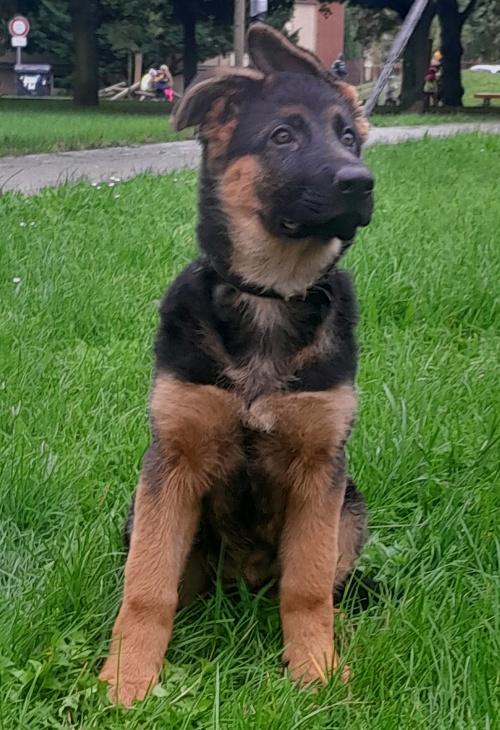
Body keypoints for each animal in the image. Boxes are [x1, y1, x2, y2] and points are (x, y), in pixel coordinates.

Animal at [100, 24, 375, 706]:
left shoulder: (321, 472)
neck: (269, 298)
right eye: (282, 136)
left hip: (351, 505)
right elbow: (146, 590)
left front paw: (315, 672)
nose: (361, 181)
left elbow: (306, 589)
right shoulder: (171, 462)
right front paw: (127, 680)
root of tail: (243, 584)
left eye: (348, 136)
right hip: (142, 512)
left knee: (321, 585)